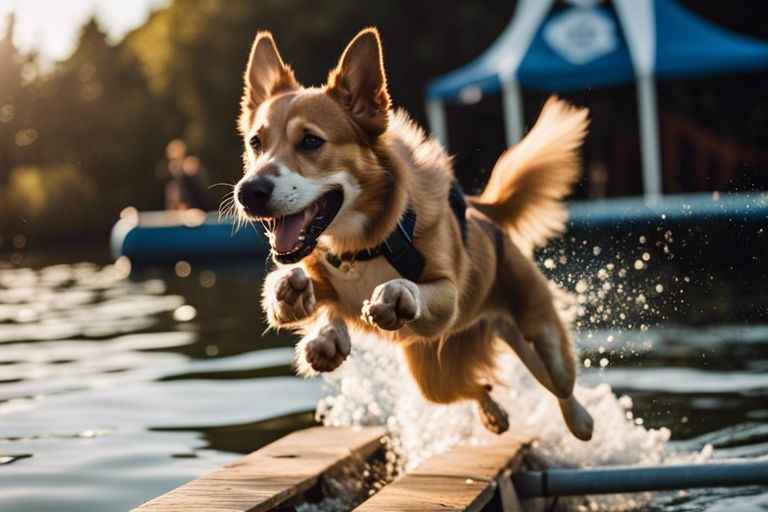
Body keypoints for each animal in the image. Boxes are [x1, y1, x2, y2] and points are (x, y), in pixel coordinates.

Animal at [234, 27, 592, 440]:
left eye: (311, 141)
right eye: (255, 143)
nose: (248, 192)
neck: (359, 246)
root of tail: (481, 209)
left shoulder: (448, 298)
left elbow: (412, 290)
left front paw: (396, 296)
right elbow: (311, 297)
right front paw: (301, 310)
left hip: (539, 338)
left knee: (561, 385)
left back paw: (581, 419)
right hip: (429, 372)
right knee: (474, 387)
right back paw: (493, 414)